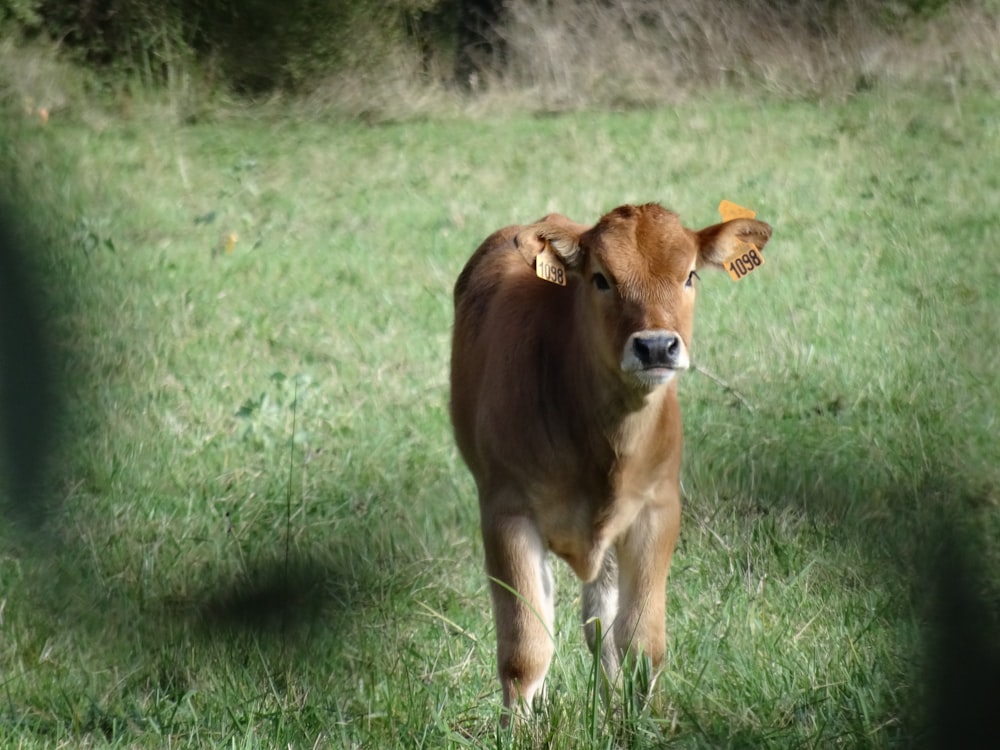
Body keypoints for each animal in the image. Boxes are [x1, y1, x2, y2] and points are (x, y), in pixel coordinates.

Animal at [452, 204, 772, 716]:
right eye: (601, 278)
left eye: (690, 275)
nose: (656, 345)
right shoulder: (505, 511)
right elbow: (526, 651)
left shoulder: (657, 509)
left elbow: (641, 639)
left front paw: (646, 721)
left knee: (599, 623)